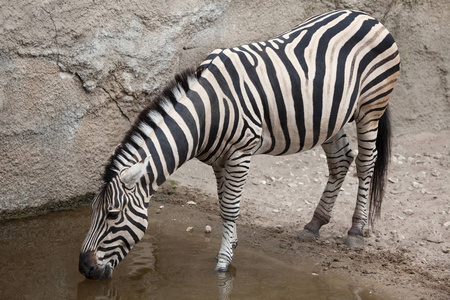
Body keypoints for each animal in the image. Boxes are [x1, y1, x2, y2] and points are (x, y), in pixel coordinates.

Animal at [79, 9, 400, 282]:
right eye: (93, 209)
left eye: (112, 215)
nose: (85, 268)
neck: (207, 112)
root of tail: (367, 16)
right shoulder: (218, 160)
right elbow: (223, 206)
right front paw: (230, 245)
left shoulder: (240, 153)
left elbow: (231, 208)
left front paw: (223, 264)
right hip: (330, 116)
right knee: (341, 160)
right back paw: (314, 223)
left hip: (371, 106)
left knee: (366, 162)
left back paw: (356, 231)